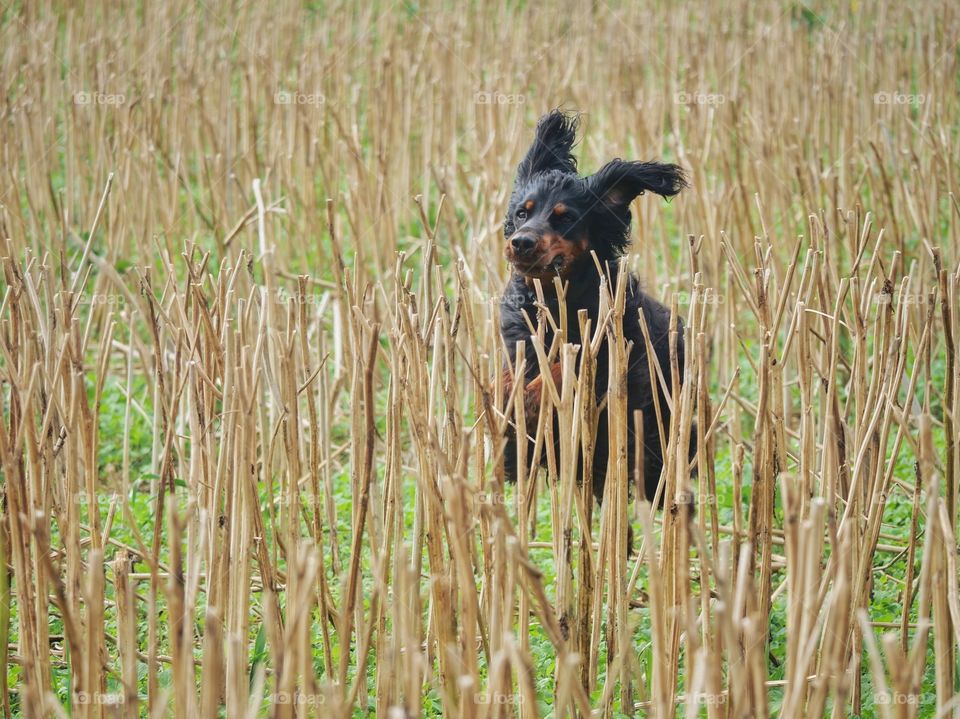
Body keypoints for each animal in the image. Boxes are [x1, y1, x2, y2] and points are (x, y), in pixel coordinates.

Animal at [498, 111, 692, 506]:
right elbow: (515, 379)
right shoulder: (519, 344)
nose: (520, 242)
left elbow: (561, 369)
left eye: (564, 217)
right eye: (522, 213)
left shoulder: (606, 358)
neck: (556, 301)